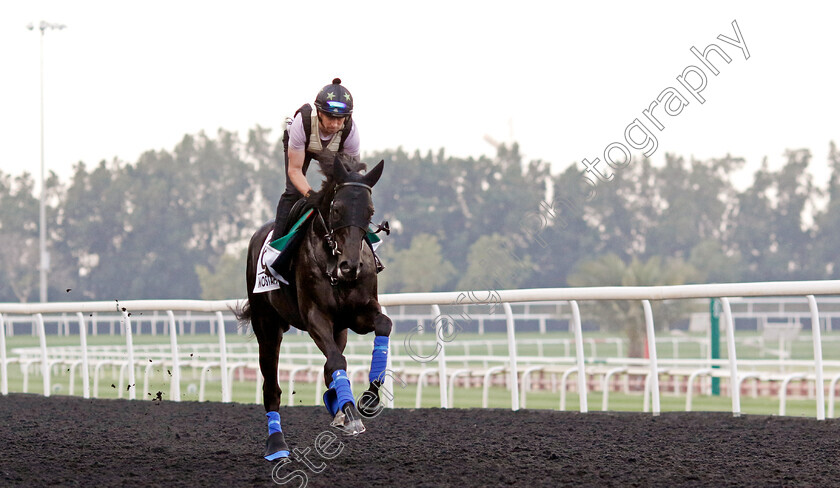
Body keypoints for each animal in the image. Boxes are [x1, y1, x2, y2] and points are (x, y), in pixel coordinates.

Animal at [236, 156, 394, 462]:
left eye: (369, 211)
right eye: (337, 209)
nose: (351, 266)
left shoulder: (358, 313)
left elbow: (383, 326)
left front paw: (367, 400)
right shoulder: (315, 317)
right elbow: (336, 362)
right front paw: (351, 414)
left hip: (339, 330)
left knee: (330, 362)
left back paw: (334, 401)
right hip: (267, 326)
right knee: (271, 388)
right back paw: (276, 445)